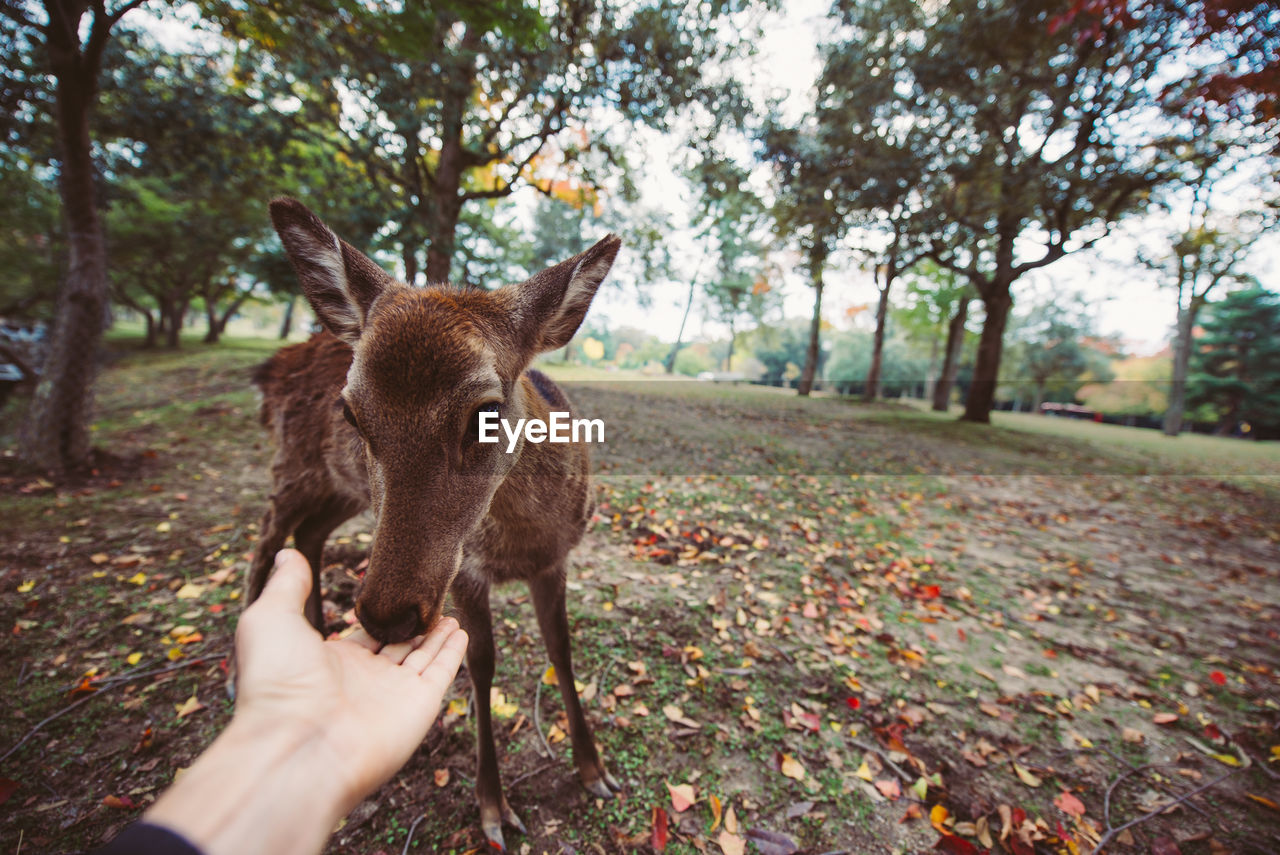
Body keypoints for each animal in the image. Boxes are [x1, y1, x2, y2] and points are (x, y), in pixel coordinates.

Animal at [244, 198, 624, 849]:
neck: (521, 544)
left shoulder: (557, 558)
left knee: (308, 535)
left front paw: (594, 770)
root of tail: (272, 370)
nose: (386, 617)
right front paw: (494, 809)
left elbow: (562, 648)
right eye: (351, 412)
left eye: (487, 413)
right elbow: (481, 663)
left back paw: (316, 627)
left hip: (344, 491)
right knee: (265, 535)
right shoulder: (465, 571)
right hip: (294, 466)